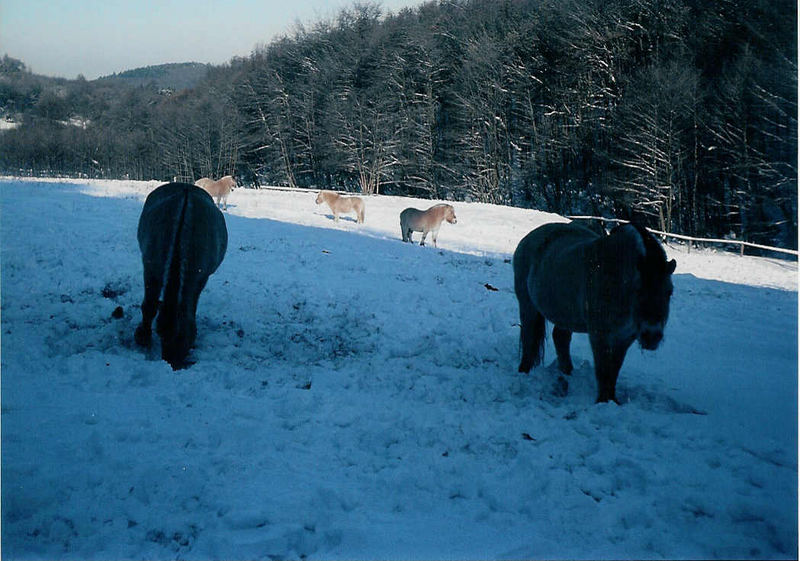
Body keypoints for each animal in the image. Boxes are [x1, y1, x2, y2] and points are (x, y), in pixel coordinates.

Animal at [134, 182, 228, 370]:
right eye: (161, 333)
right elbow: (149, 305)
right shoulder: (150, 268)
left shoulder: (201, 278)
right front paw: (143, 336)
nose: (173, 364)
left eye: (185, 337)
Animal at [512, 220, 676, 402]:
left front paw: (612, 400)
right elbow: (603, 370)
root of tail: (528, 238)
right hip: (528, 306)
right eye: (638, 290)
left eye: (669, 292)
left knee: (560, 338)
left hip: (565, 314)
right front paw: (603, 401)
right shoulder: (600, 335)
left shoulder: (625, 337)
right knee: (529, 338)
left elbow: (614, 370)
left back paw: (568, 373)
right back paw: (524, 371)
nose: (652, 336)